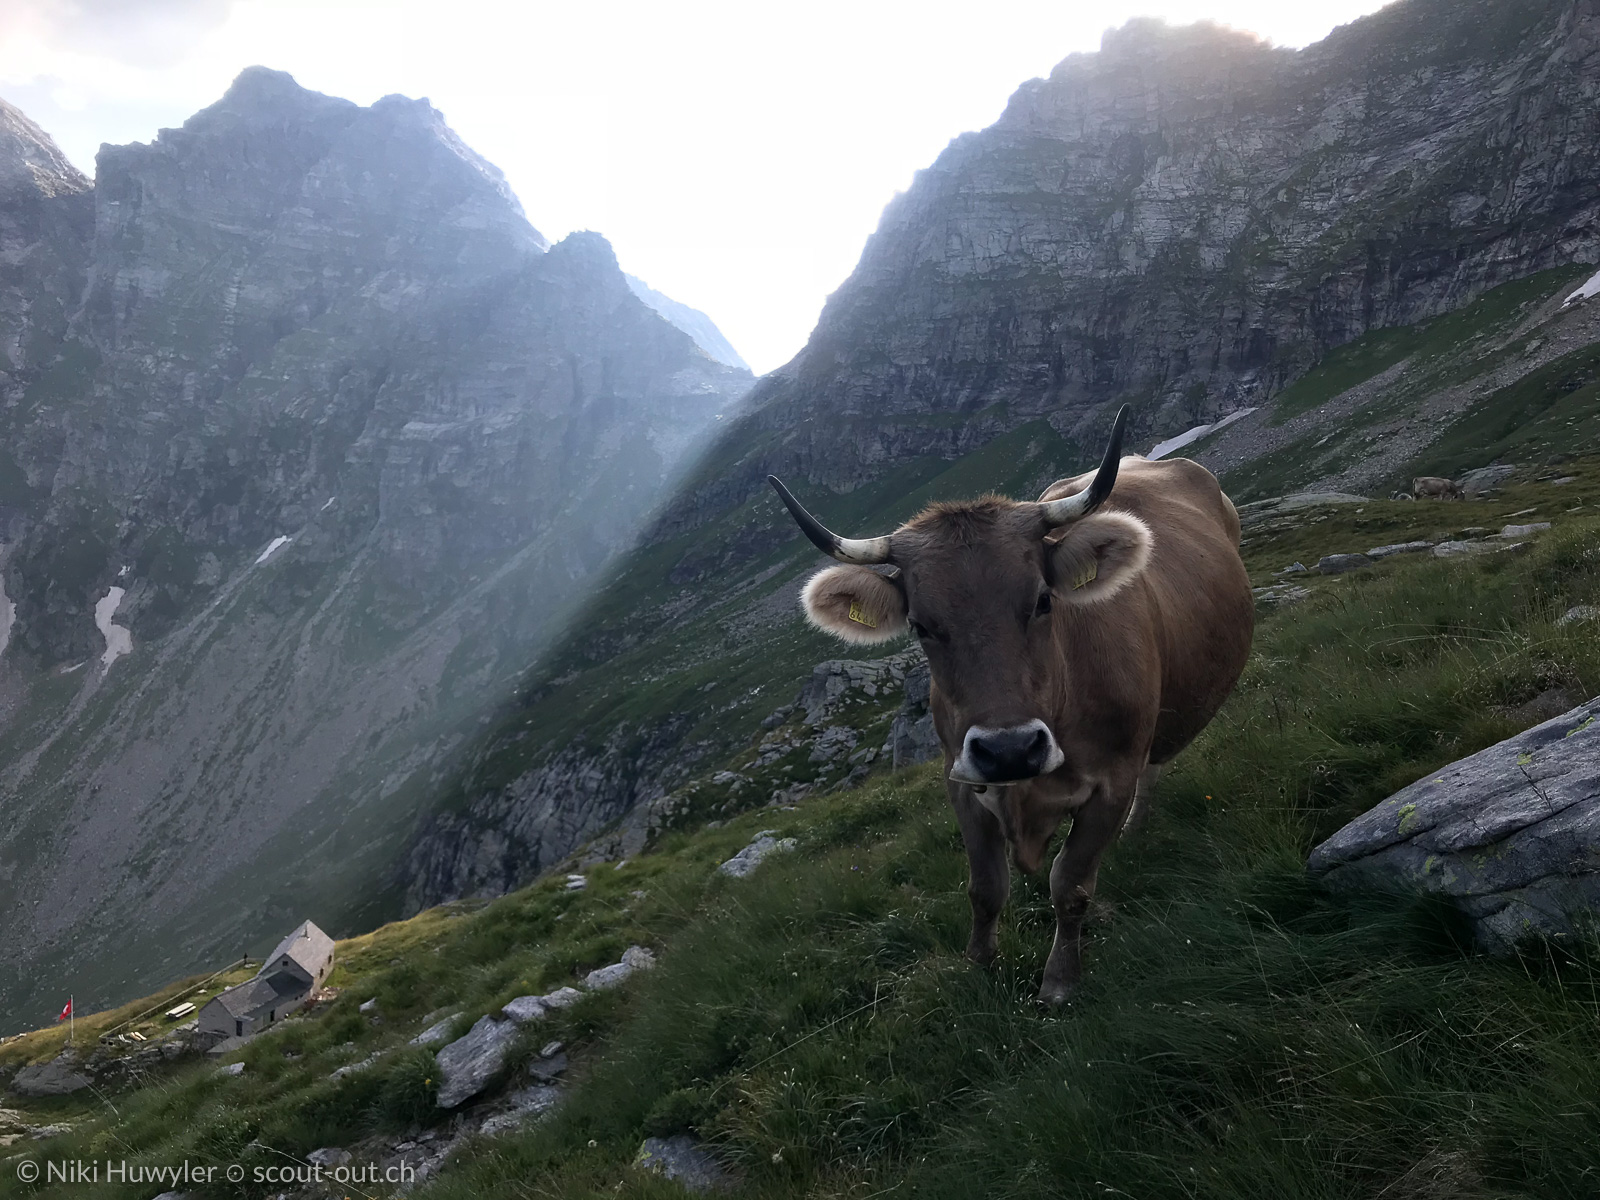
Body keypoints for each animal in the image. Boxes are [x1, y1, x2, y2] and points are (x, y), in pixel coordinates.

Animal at [769, 406, 1254, 1003]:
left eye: (1043, 599)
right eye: (921, 625)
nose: (1009, 750)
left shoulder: (1112, 781)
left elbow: (1070, 884)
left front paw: (1059, 980)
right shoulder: (961, 780)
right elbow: (985, 888)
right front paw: (978, 965)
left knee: (1154, 767)